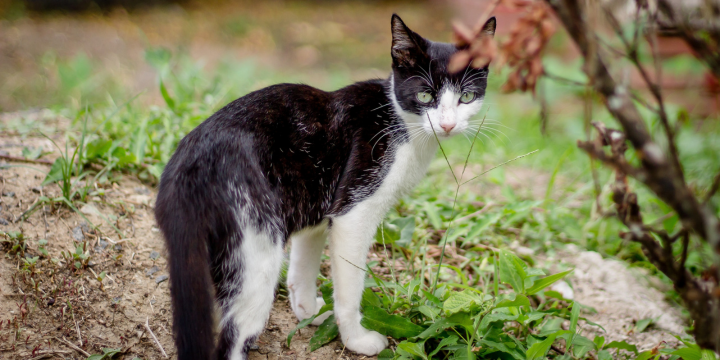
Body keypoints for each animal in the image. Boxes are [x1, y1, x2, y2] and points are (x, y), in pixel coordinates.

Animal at [154, 14, 496, 360]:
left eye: (466, 97)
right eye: (426, 96)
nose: (448, 125)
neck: (399, 121)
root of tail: (190, 162)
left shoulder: (317, 202)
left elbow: (302, 268)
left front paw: (309, 312)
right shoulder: (353, 208)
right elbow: (349, 287)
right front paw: (355, 338)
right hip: (254, 249)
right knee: (232, 338)